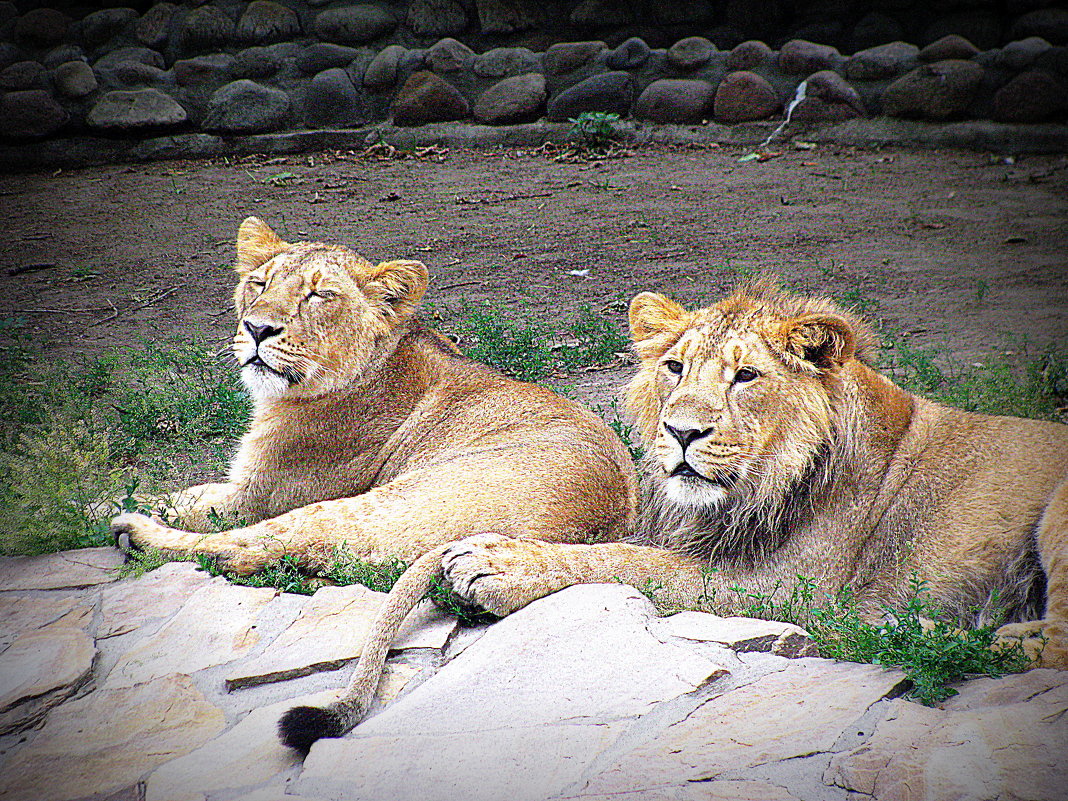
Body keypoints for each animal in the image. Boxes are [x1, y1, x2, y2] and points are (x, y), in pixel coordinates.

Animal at [111, 217, 636, 751]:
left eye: (318, 295)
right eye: (258, 284)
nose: (256, 329)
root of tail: (593, 526)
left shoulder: (253, 496)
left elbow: (170, 503)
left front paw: (105, 508)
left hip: (366, 507)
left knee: (242, 549)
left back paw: (134, 532)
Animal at [339, 279, 1068, 743]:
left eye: (746, 376)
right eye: (675, 368)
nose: (682, 432)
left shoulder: (781, 586)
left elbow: (631, 561)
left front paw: (499, 562)